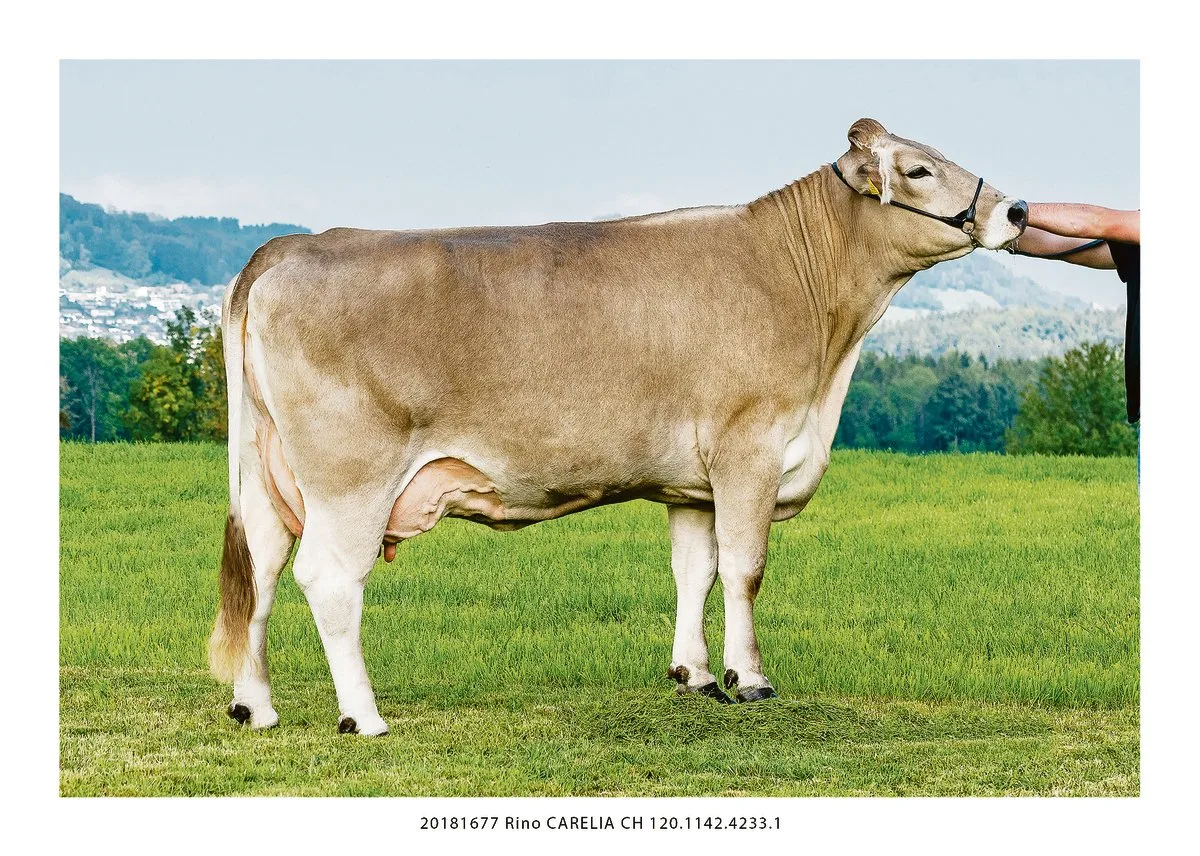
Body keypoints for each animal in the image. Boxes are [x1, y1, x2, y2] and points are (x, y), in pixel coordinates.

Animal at [208, 118, 1027, 735]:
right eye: (918, 170)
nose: (1016, 210)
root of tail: (290, 246)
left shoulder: (693, 482)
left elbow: (695, 569)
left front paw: (695, 674)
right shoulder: (749, 449)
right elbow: (746, 567)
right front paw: (751, 678)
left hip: (268, 472)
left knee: (262, 570)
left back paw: (256, 707)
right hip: (351, 478)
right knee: (328, 579)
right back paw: (364, 717)